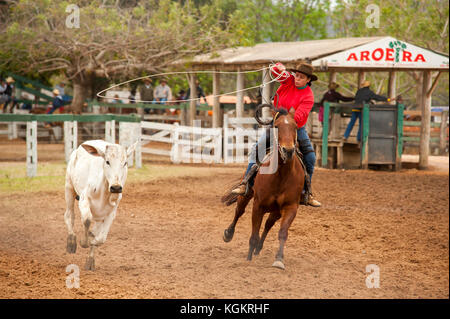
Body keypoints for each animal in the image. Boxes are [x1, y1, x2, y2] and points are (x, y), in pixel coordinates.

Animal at [64, 139, 136, 270]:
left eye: (125, 163)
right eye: (107, 161)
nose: (116, 187)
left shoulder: (111, 213)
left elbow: (100, 238)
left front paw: (91, 255)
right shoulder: (84, 199)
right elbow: (87, 220)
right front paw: (84, 242)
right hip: (69, 187)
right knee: (69, 215)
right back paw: (71, 242)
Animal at [222, 107, 304, 270]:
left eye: (295, 127)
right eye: (276, 126)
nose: (288, 150)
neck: (281, 175)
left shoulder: (290, 207)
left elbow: (282, 232)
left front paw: (279, 259)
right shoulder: (258, 205)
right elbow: (253, 234)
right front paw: (248, 258)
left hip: (276, 211)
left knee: (268, 224)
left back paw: (259, 248)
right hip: (246, 196)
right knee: (239, 211)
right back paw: (229, 234)